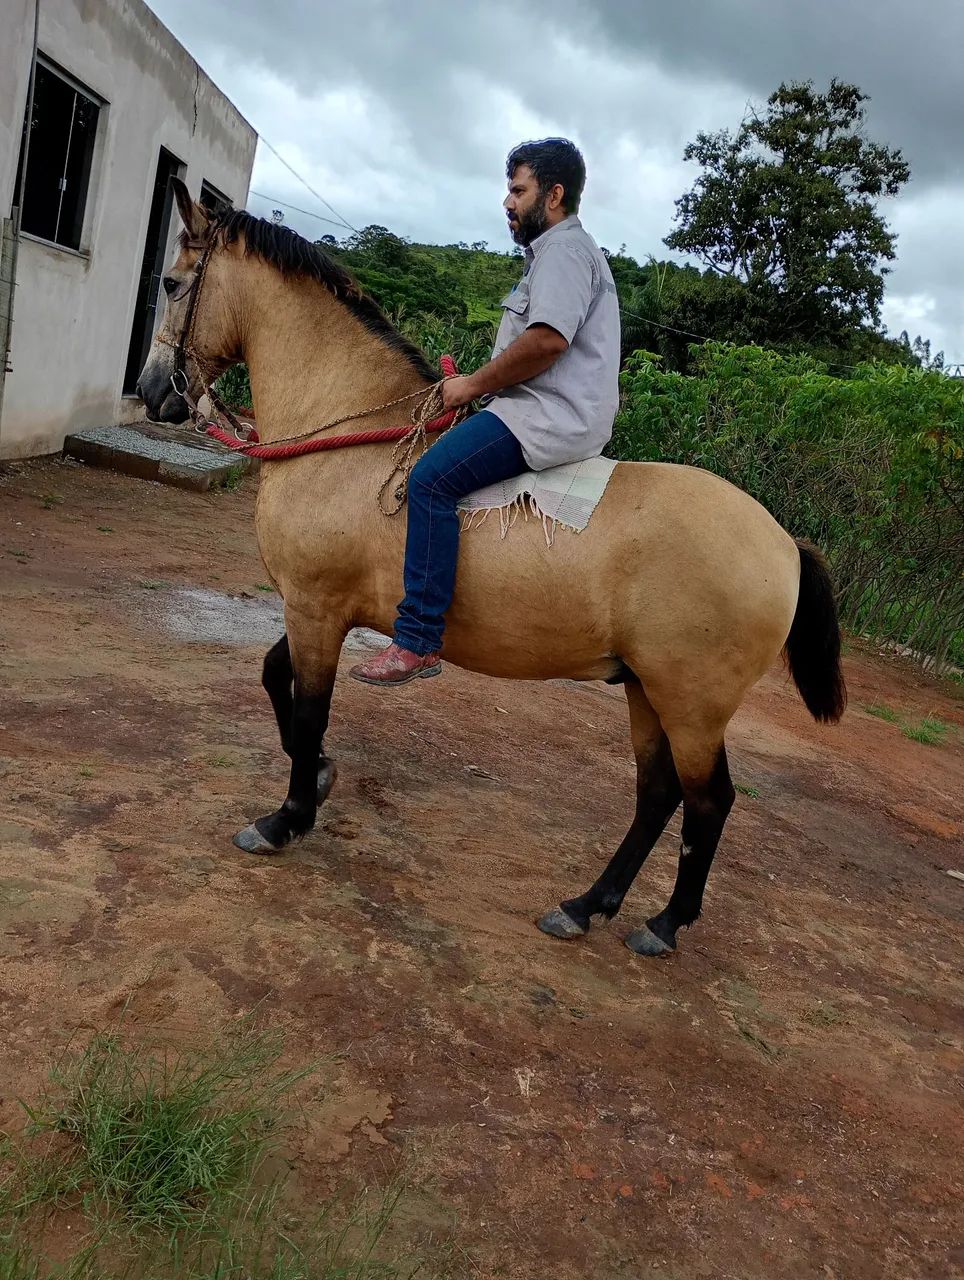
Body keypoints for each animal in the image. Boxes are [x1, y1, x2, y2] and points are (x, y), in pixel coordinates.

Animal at [136, 180, 845, 959]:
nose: (153, 391)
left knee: (708, 802)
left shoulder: (315, 608)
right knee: (658, 796)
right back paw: (587, 905)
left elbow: (308, 703)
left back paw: (663, 924)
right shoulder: (313, 607)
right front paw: (317, 774)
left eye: (172, 282)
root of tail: (784, 544)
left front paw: (285, 817)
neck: (351, 434)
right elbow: (275, 677)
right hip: (647, 690)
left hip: (691, 703)